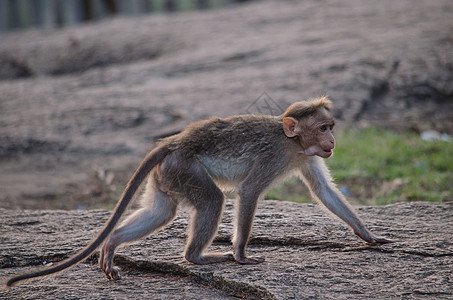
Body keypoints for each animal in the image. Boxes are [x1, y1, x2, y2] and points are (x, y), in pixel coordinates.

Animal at [4, 96, 392, 288]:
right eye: (324, 127)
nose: (333, 141)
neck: (292, 142)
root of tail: (173, 142)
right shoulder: (274, 156)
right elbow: (249, 192)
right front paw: (241, 255)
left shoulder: (304, 157)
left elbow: (324, 191)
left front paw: (368, 235)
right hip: (185, 169)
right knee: (212, 200)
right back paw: (198, 257)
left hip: (167, 175)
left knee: (161, 212)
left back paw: (112, 244)